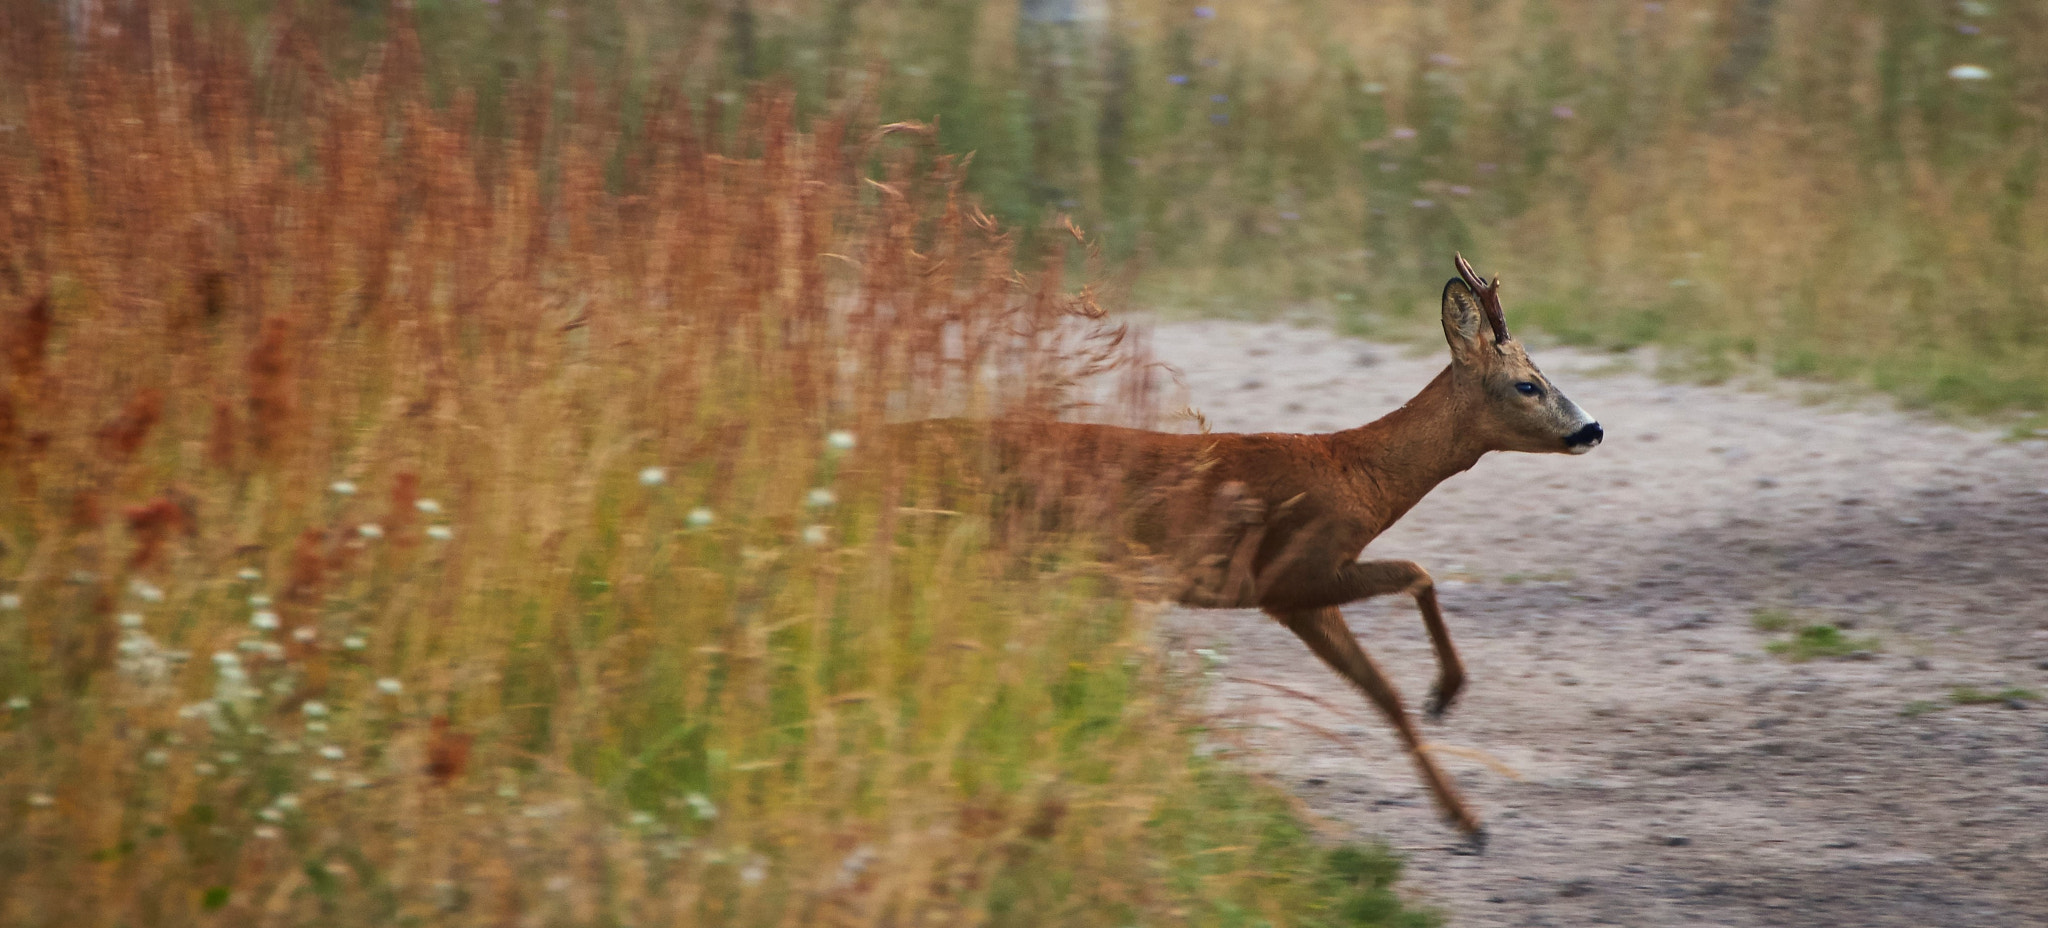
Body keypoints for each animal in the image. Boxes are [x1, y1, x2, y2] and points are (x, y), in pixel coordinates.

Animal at [971, 254, 1603, 847]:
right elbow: (1417, 574)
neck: (1361, 476)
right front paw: (1447, 704)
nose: (1592, 429)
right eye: (1528, 384)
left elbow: (1383, 691)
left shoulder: (1299, 596)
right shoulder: (1292, 575)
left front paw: (1463, 813)